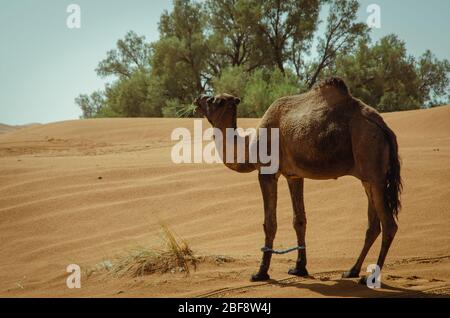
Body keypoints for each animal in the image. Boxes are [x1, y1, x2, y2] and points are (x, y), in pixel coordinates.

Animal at [193, 77, 400, 280]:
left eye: (212, 100)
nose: (198, 99)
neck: (249, 147)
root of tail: (384, 127)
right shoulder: (294, 175)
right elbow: (299, 220)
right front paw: (299, 268)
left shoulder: (267, 172)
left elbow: (270, 223)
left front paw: (261, 273)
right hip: (368, 178)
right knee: (373, 226)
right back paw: (352, 270)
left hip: (373, 165)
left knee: (389, 224)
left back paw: (371, 277)